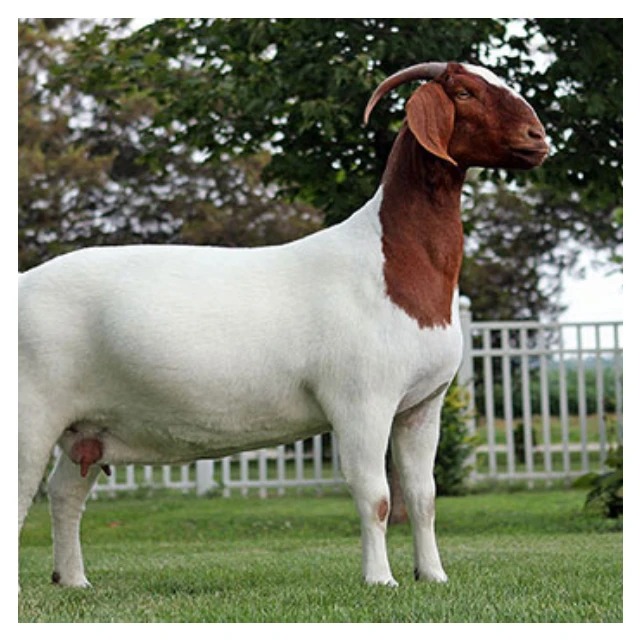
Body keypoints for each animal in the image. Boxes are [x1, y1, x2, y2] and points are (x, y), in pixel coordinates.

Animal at [18, 62, 548, 588]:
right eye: (464, 92)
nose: (537, 137)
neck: (394, 264)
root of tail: (21, 283)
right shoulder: (362, 400)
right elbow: (375, 496)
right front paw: (380, 579)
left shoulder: (423, 404)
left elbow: (423, 497)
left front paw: (433, 575)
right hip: (33, 410)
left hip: (88, 427)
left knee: (64, 494)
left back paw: (74, 580)